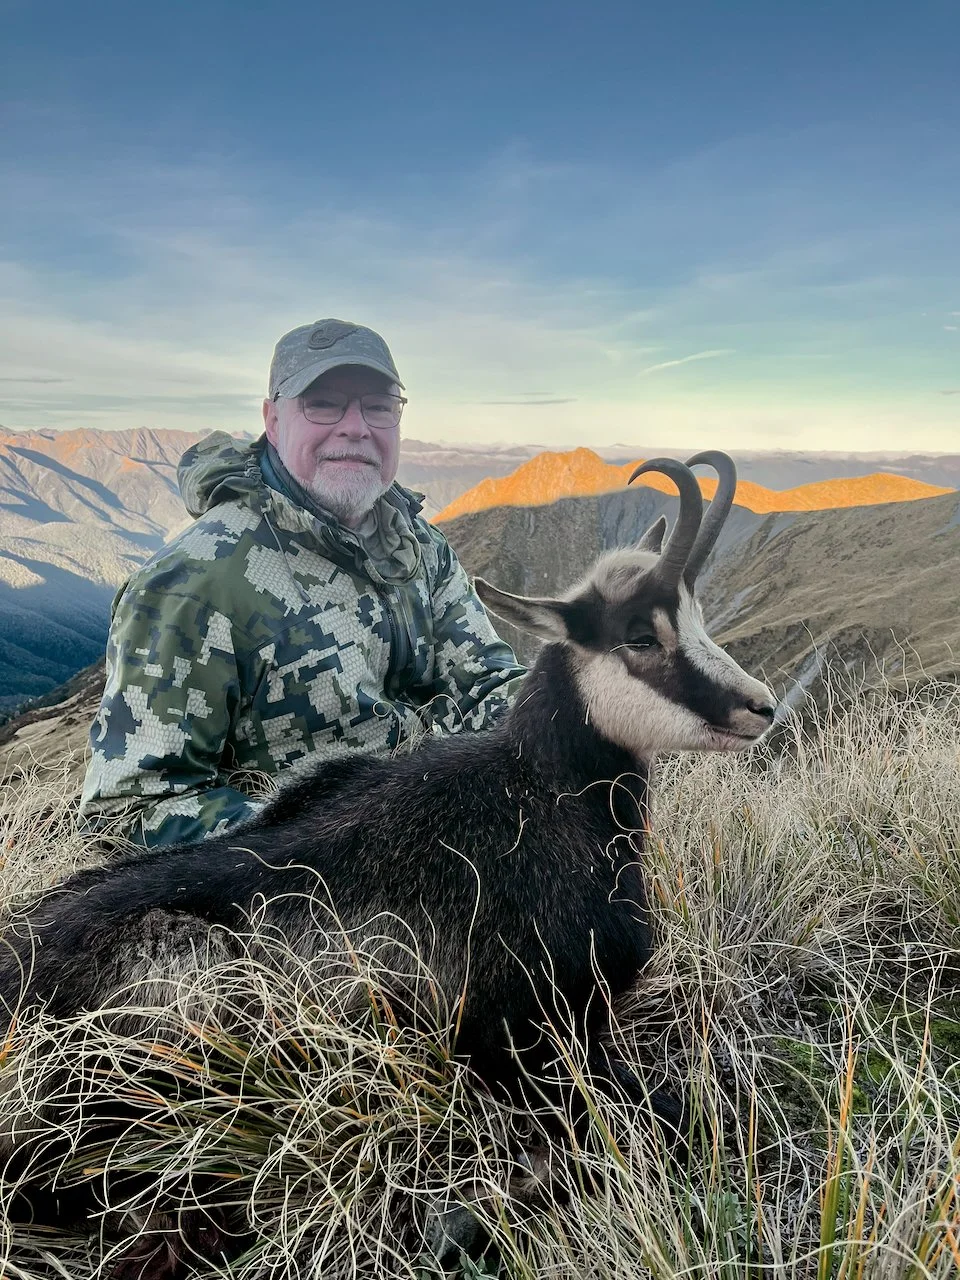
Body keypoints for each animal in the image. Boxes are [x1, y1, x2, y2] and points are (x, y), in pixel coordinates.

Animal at [0, 453, 776, 1278]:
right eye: (638, 636)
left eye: (696, 616)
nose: (760, 707)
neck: (541, 796)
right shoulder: (528, 1034)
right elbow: (677, 1113)